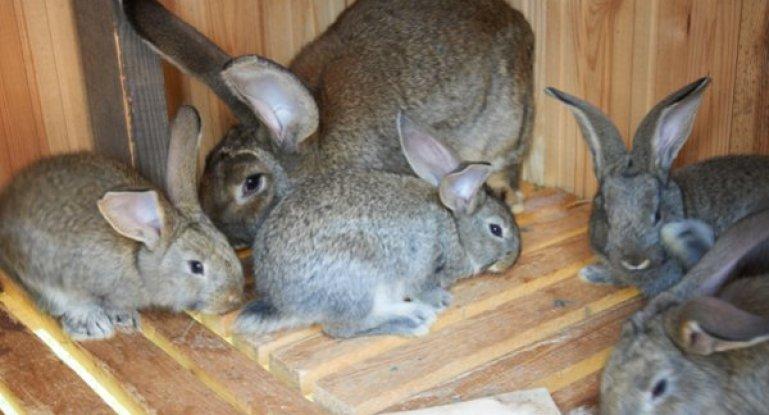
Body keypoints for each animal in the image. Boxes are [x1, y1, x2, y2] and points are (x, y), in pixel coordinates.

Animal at [0, 106, 244, 340]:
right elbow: (76, 303)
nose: (234, 299)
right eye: (196, 266)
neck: (138, 262)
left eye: (227, 245)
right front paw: (96, 324)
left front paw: (123, 317)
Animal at [233, 113, 520, 338]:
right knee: (341, 328)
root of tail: (284, 304)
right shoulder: (423, 262)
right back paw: (412, 321)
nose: (512, 259)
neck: (455, 230)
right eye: (496, 229)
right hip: (361, 283)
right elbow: (423, 287)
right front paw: (440, 300)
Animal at [545, 77, 769, 296]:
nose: (634, 261)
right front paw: (592, 273)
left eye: (658, 215)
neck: (682, 204)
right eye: (607, 218)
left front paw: (592, 273)